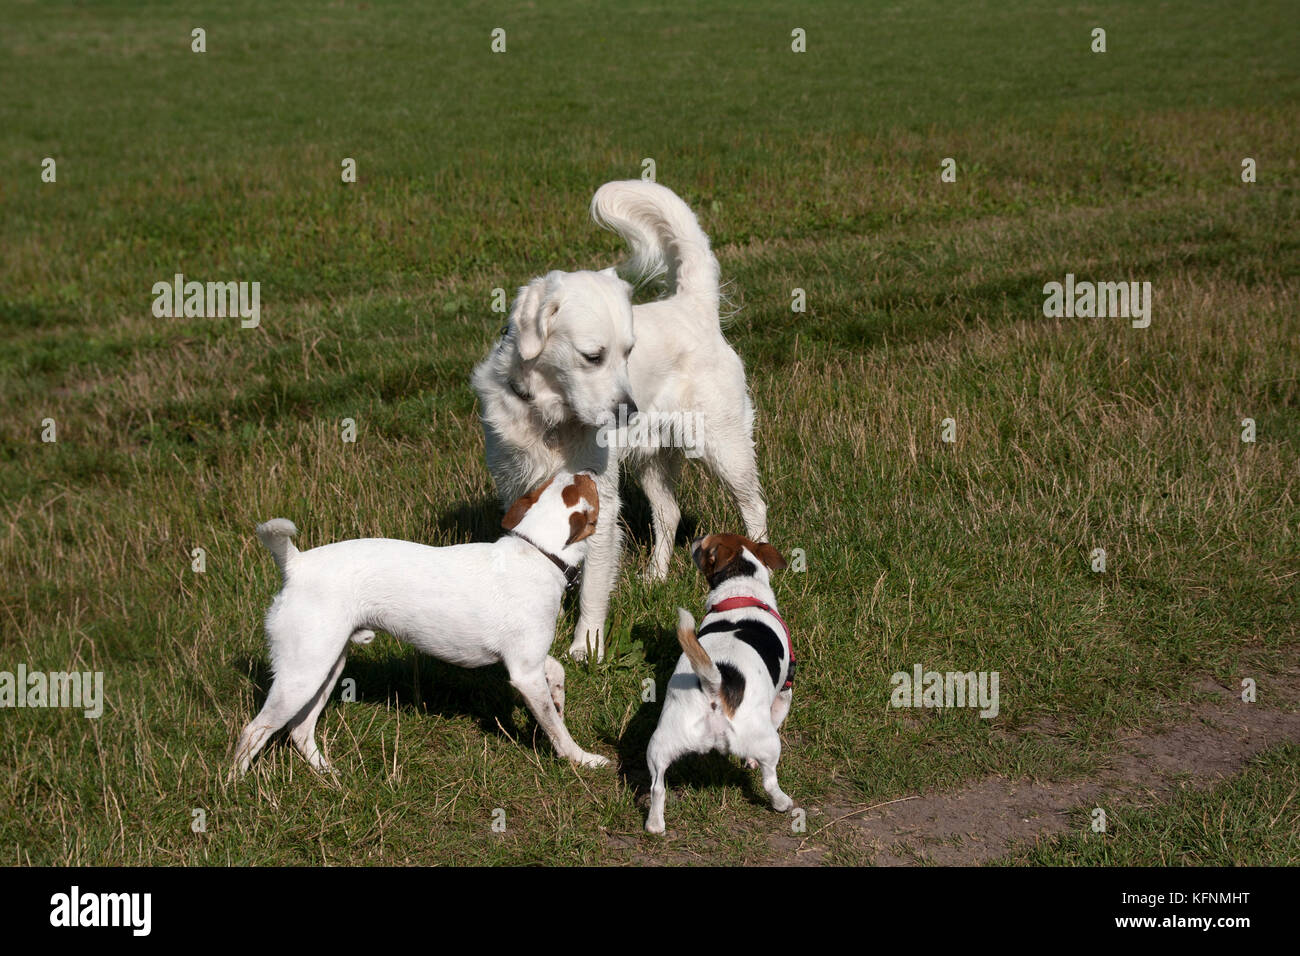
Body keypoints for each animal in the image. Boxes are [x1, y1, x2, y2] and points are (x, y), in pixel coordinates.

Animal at [232, 470, 608, 780]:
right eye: (590, 487)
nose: (592, 468)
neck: (540, 552)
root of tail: (296, 565)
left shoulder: (527, 659)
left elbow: (556, 672)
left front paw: (558, 698)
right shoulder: (524, 675)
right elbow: (557, 729)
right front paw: (581, 759)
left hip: (325, 668)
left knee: (299, 731)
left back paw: (329, 775)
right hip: (302, 675)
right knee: (253, 730)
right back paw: (234, 785)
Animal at [473, 184, 764, 665]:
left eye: (629, 352)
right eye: (593, 356)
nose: (629, 410)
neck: (553, 420)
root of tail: (692, 306)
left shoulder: (602, 501)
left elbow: (592, 587)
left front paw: (586, 646)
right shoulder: (517, 488)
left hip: (725, 448)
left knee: (754, 505)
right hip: (652, 459)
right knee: (669, 512)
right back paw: (655, 577)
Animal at [647, 535, 795, 832]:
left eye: (703, 545)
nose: (693, 539)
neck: (740, 591)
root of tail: (716, 686)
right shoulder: (784, 694)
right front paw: (750, 762)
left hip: (660, 744)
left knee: (658, 787)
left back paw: (655, 825)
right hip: (768, 742)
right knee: (769, 781)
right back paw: (782, 802)